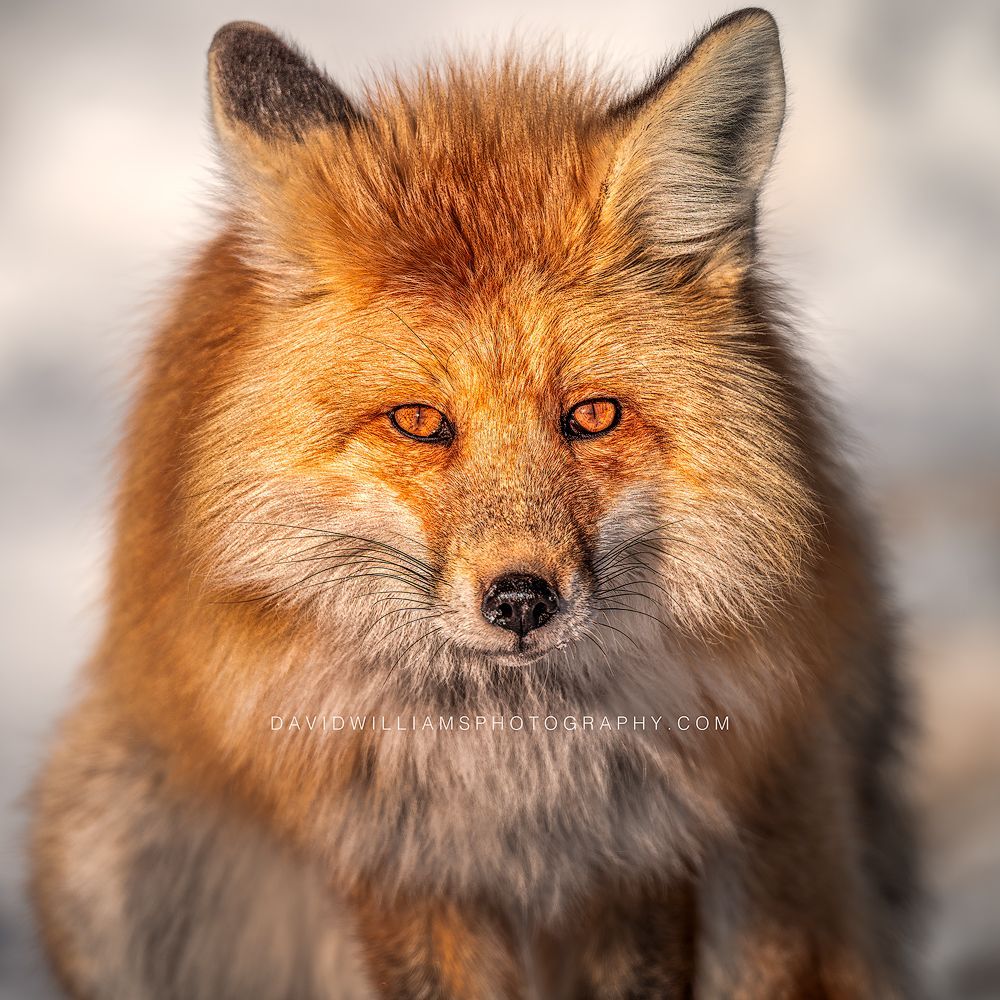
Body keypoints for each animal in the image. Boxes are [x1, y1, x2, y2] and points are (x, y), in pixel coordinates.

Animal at [30, 8, 917, 999]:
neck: (515, 772)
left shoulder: (645, 852)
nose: (521, 599)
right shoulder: (400, 865)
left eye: (593, 415)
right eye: (420, 422)